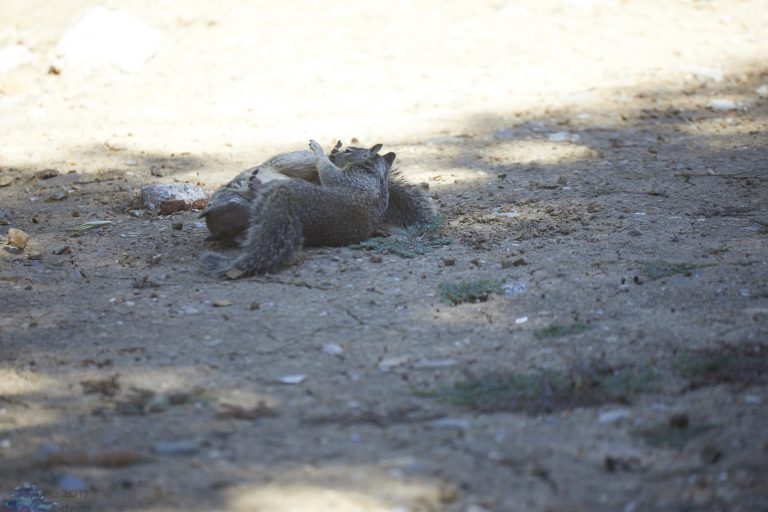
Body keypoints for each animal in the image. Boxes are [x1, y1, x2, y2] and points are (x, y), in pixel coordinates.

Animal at [200, 140, 397, 278]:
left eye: (349, 151)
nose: (335, 155)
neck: (375, 172)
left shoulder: (348, 177)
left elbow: (329, 173)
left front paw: (318, 150)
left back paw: (249, 186)